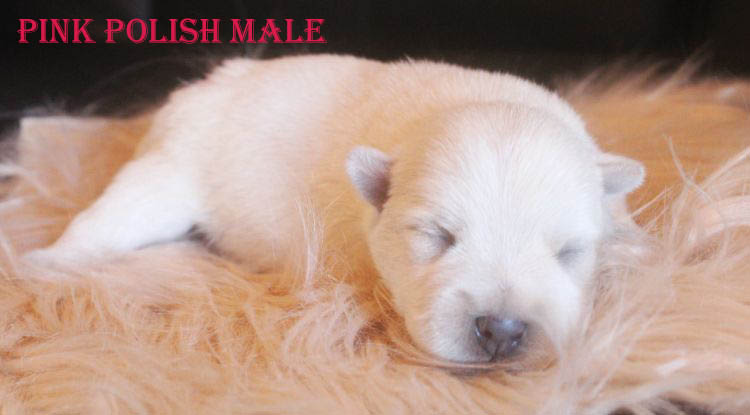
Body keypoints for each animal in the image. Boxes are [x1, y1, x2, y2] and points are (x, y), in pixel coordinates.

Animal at [25, 54, 644, 363]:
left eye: (568, 251)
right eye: (437, 237)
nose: (503, 330)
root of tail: (209, 83)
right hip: (167, 176)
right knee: (108, 217)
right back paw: (49, 261)